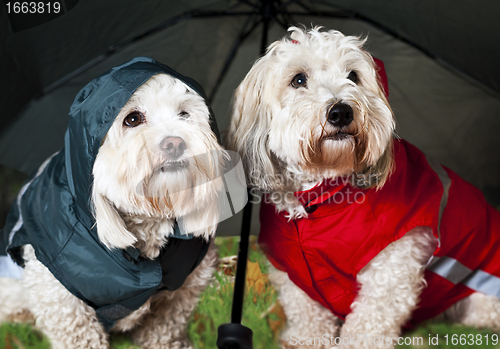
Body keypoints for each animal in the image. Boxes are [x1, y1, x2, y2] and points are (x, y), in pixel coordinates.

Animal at [226, 27, 500, 348]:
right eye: (298, 79)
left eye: (353, 76)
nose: (341, 112)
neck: (321, 198)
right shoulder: (295, 277)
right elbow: (307, 319)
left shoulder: (392, 268)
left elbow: (368, 324)